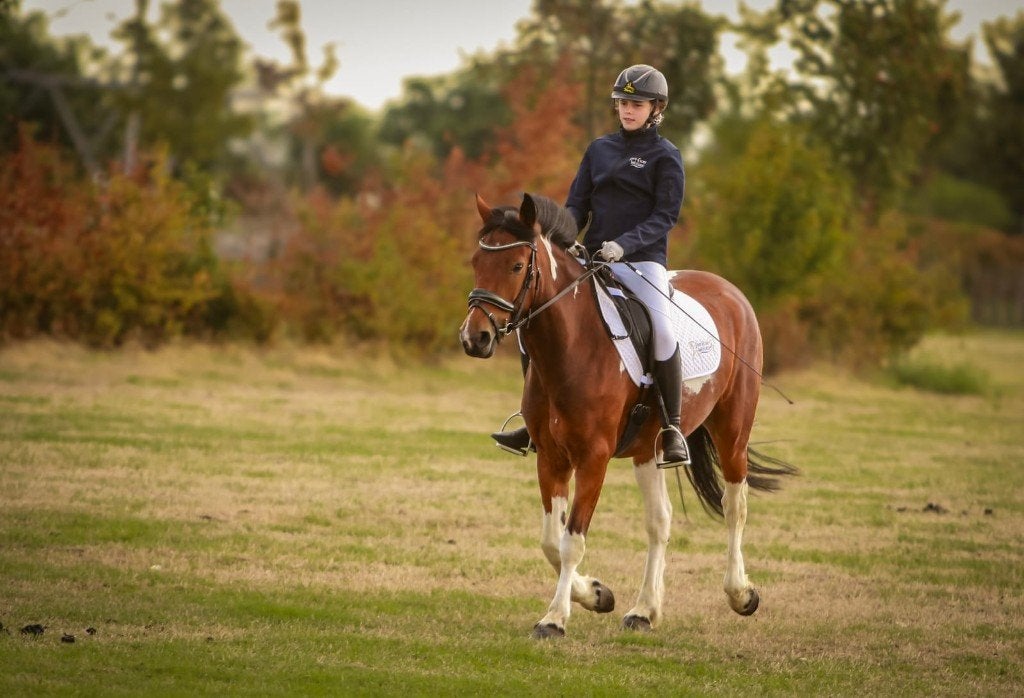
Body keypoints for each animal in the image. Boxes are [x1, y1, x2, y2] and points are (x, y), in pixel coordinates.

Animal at [459, 192, 797, 639]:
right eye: (477, 262)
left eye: (516, 266)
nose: (474, 338)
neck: (573, 346)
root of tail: (729, 290)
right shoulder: (551, 457)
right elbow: (551, 540)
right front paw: (596, 594)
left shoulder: (594, 458)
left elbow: (571, 541)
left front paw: (554, 618)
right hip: (647, 449)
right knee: (660, 521)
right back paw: (644, 610)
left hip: (733, 430)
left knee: (734, 505)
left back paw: (741, 594)